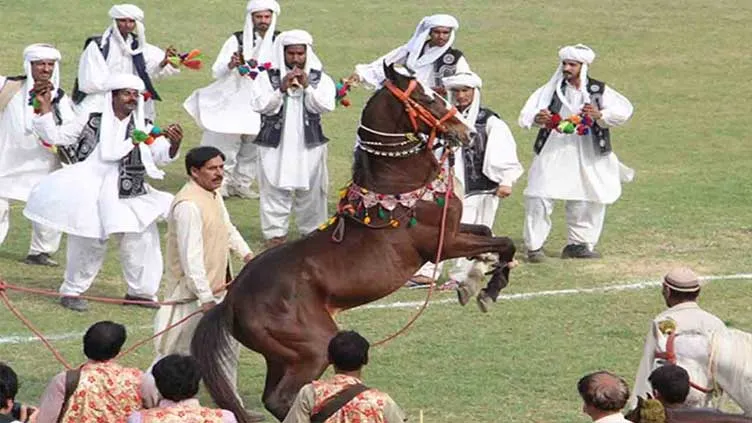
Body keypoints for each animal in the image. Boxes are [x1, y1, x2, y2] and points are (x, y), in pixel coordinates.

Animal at [191, 63, 517, 422]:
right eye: (425, 97)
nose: (467, 132)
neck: (399, 185)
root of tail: (231, 300)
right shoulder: (442, 243)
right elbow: (505, 242)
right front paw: (488, 290)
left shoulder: (456, 230)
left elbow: (487, 233)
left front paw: (474, 281)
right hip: (313, 347)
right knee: (283, 397)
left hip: (280, 355)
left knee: (273, 398)